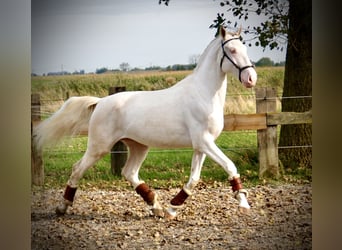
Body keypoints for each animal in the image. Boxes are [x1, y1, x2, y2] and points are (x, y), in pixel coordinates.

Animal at [33, 26, 256, 219]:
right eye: (232, 50)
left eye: (246, 49)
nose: (251, 78)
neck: (204, 93)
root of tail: (100, 102)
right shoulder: (204, 142)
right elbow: (230, 166)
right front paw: (243, 203)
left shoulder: (200, 146)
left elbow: (194, 179)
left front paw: (172, 209)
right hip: (99, 147)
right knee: (78, 168)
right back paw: (62, 207)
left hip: (138, 146)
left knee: (129, 172)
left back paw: (156, 206)